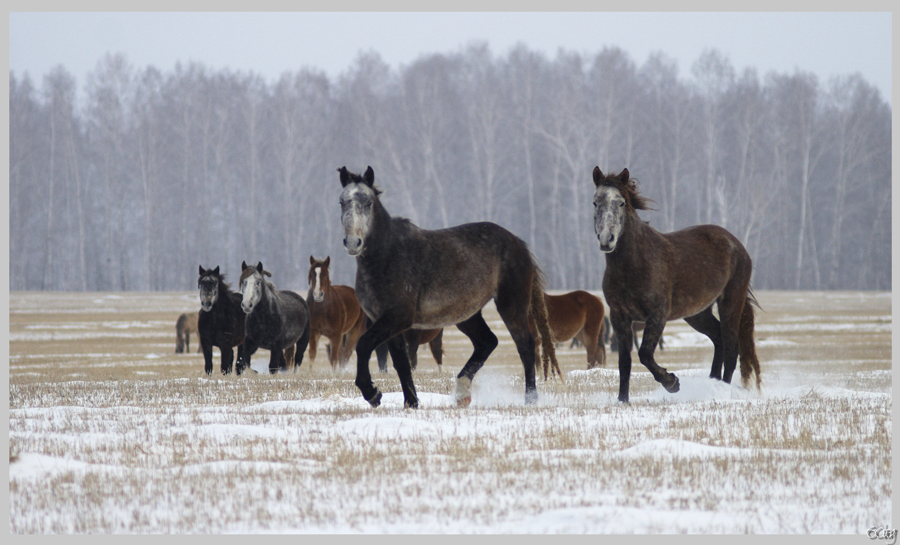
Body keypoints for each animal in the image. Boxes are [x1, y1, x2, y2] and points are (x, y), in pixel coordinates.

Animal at [336, 166, 556, 408]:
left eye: (368, 202)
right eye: (342, 202)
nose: (353, 243)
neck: (387, 255)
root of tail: (517, 242)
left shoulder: (398, 318)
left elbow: (364, 345)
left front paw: (372, 392)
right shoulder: (386, 322)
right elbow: (401, 364)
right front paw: (411, 403)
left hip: (511, 306)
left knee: (525, 346)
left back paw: (530, 400)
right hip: (467, 315)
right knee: (488, 342)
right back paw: (462, 393)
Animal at [596, 166, 764, 400]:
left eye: (621, 202)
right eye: (595, 202)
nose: (606, 239)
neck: (635, 264)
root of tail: (738, 245)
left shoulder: (657, 315)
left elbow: (645, 354)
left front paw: (671, 382)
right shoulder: (619, 317)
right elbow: (625, 363)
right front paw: (623, 401)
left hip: (730, 303)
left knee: (731, 347)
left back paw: (722, 391)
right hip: (697, 313)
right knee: (718, 338)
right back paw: (712, 383)